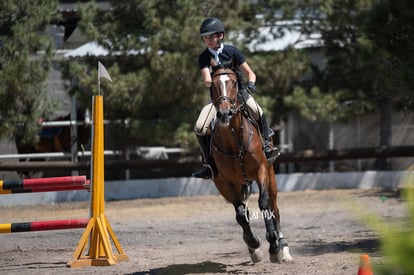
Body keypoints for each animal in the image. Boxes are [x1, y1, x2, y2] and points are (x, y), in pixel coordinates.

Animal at [209, 59, 292, 264]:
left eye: (233, 82)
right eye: (212, 86)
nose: (225, 114)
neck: (234, 140)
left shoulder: (261, 169)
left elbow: (264, 204)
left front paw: (273, 247)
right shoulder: (225, 183)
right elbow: (240, 213)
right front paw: (254, 244)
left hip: (271, 176)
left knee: (274, 208)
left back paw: (284, 248)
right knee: (243, 211)